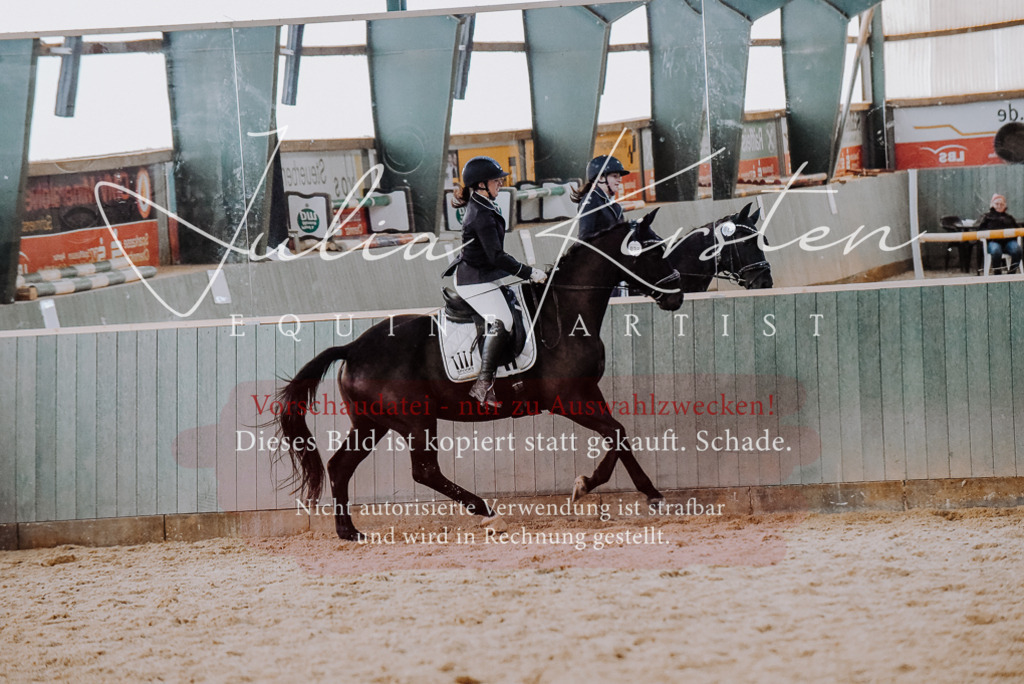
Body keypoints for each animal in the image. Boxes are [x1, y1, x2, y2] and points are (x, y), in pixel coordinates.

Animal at [277, 211, 685, 540]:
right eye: (654, 252)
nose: (676, 295)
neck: (566, 311)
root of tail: (353, 348)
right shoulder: (569, 399)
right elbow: (615, 433)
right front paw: (586, 485)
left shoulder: (587, 392)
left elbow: (620, 435)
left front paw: (652, 495)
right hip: (415, 420)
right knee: (424, 471)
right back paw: (488, 512)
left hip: (372, 423)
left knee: (340, 466)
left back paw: (349, 531)